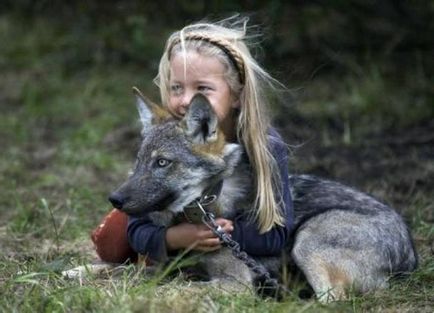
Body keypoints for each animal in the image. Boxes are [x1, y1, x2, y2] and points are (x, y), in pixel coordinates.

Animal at [108, 89, 418, 302]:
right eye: (139, 162)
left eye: (162, 162)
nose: (114, 199)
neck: (206, 206)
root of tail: (411, 253)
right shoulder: (162, 266)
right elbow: (108, 268)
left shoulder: (236, 283)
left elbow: (174, 287)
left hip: (306, 242)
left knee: (333, 300)